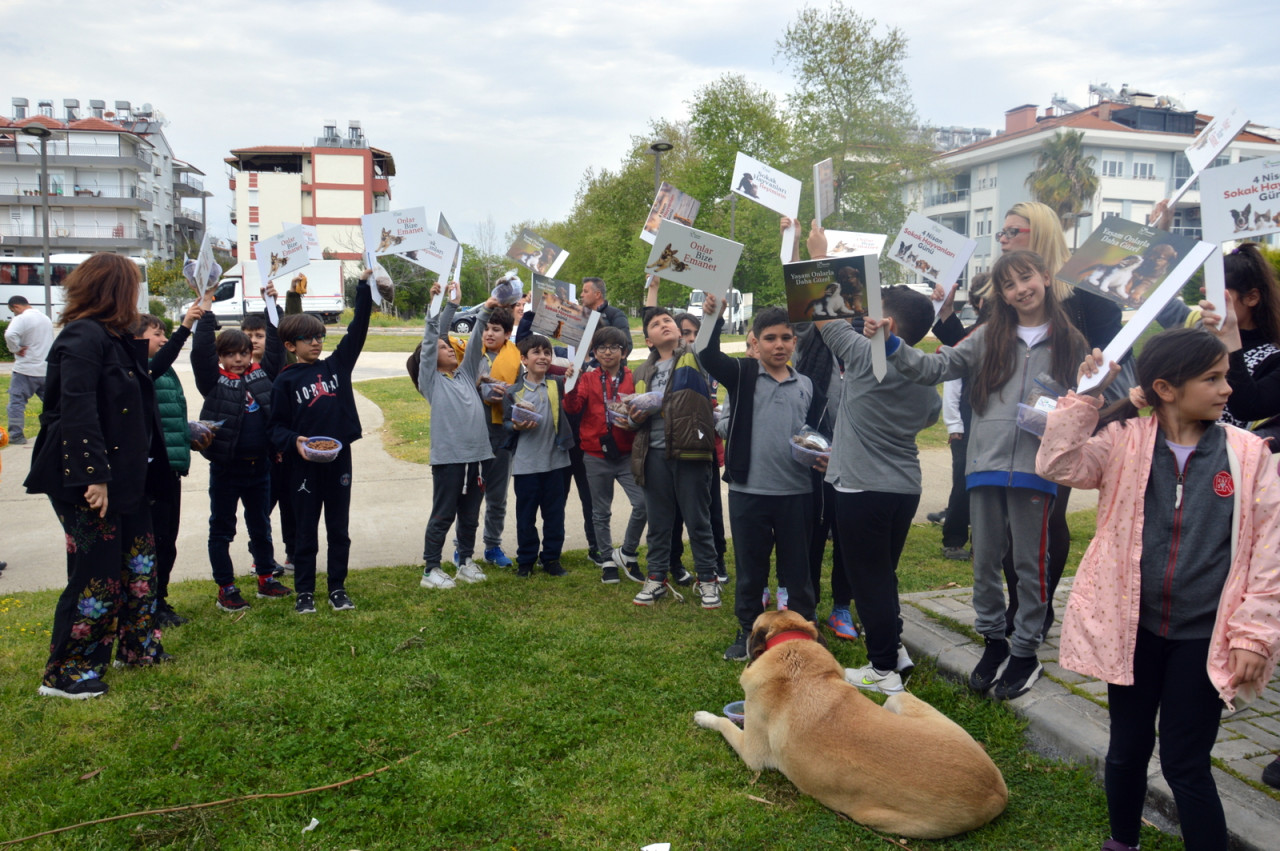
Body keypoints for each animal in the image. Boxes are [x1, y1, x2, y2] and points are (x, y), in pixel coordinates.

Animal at [696, 611, 1003, 834]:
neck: (792, 651)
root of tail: (997, 793)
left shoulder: (752, 755)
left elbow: (724, 723)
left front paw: (704, 717)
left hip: (871, 813)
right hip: (900, 701)